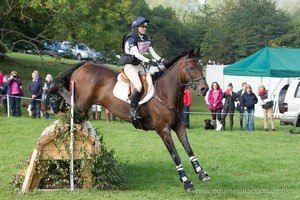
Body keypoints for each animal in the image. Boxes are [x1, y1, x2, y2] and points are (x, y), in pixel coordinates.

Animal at [48, 47, 210, 191]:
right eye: (191, 67)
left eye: (201, 67)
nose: (204, 89)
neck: (165, 92)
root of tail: (85, 64)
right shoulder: (163, 130)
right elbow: (175, 156)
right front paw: (186, 182)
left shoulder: (179, 126)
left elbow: (189, 149)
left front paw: (201, 173)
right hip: (81, 104)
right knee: (65, 94)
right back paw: (56, 97)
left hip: (82, 105)